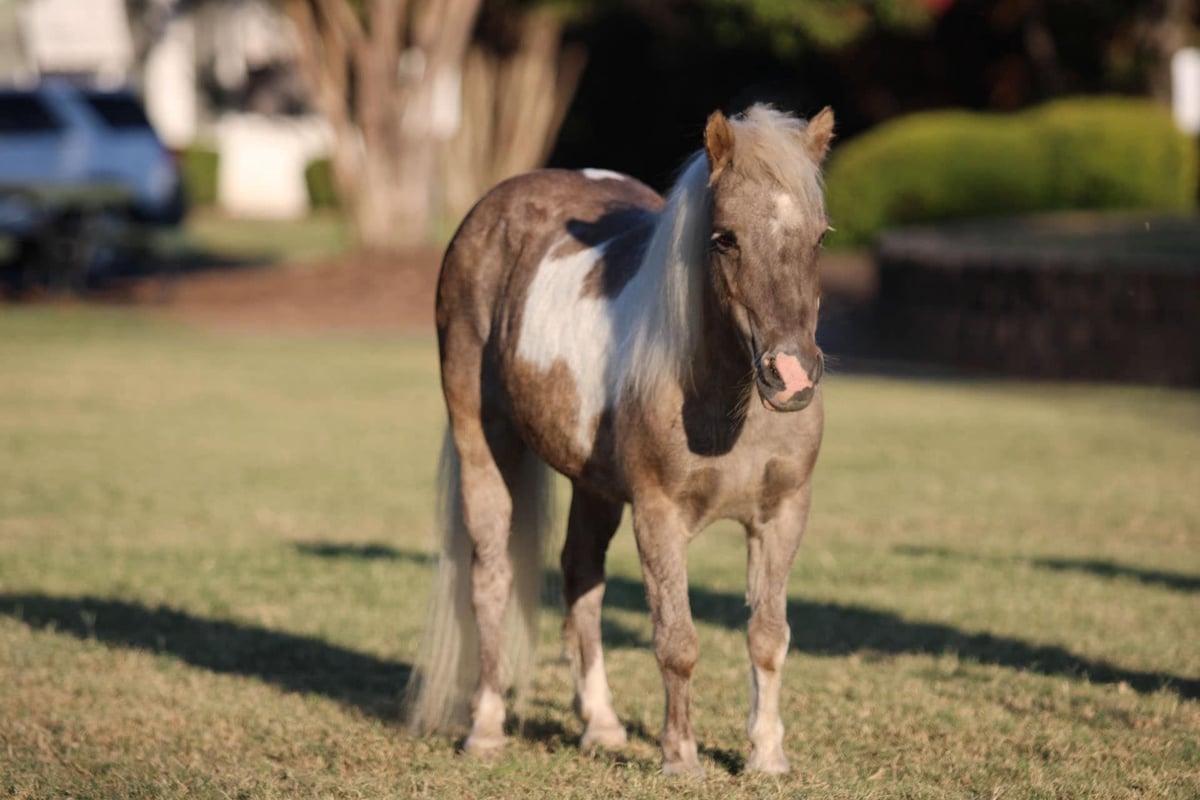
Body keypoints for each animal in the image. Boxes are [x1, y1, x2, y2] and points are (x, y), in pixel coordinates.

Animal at [406, 104, 835, 775]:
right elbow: (676, 641)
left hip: (596, 487)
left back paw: (601, 725)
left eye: (820, 236)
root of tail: (494, 204)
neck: (725, 398)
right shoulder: (658, 516)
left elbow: (768, 636)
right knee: (491, 578)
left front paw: (767, 756)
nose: (789, 375)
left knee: (580, 578)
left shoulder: (783, 515)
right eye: (725, 237)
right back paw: (486, 728)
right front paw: (681, 757)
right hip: (484, 446)